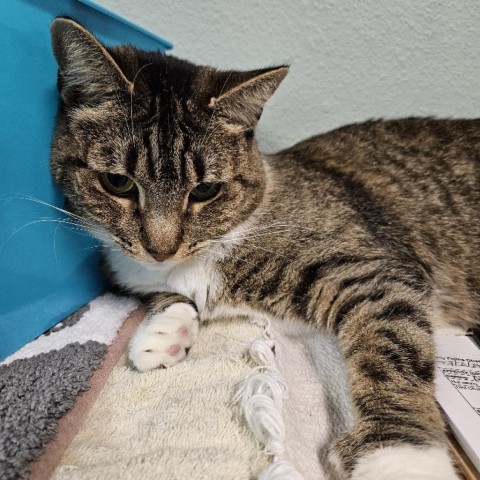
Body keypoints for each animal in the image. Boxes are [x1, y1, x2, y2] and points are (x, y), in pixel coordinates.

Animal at [47, 16, 476, 478]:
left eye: (206, 190)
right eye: (118, 182)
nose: (161, 249)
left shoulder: (373, 270)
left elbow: (391, 348)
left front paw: (400, 459)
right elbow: (170, 295)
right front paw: (163, 334)